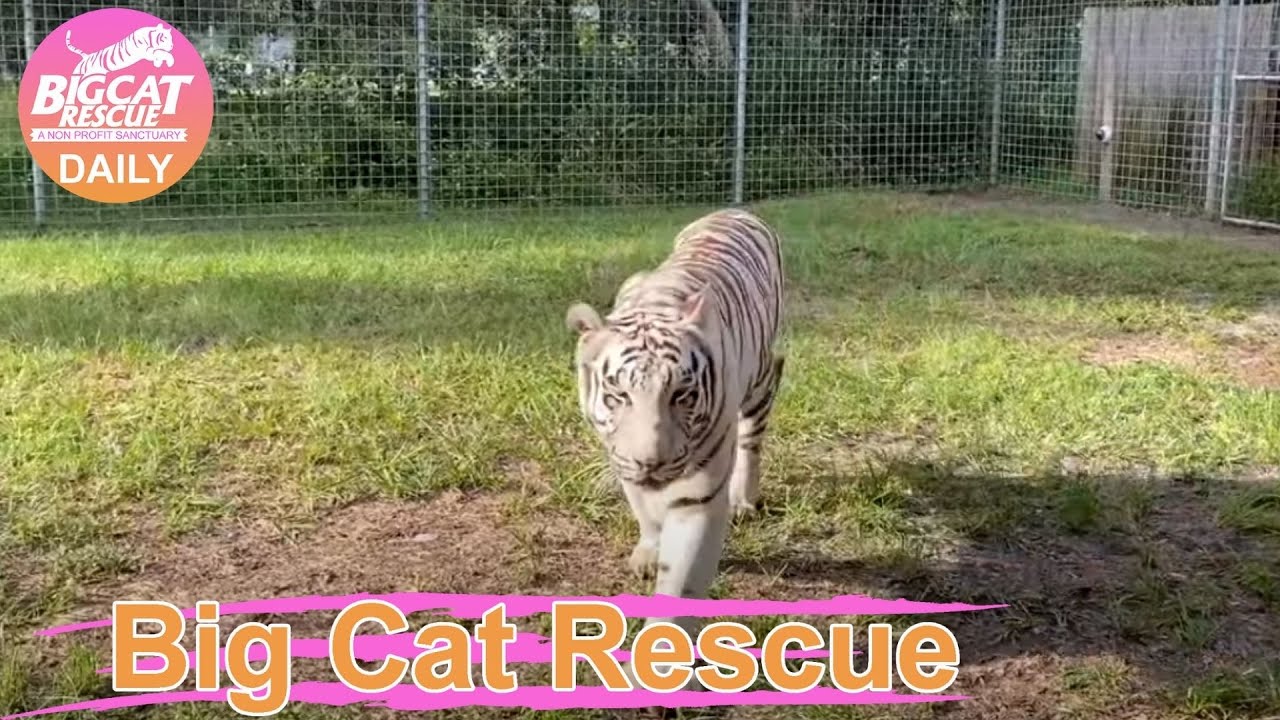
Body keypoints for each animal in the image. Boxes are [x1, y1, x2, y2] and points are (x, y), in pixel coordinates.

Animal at [564, 207, 785, 680]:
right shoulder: (622, 463)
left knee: (754, 432)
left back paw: (745, 498)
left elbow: (679, 583)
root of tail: (735, 209)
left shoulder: (697, 498)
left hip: (760, 378)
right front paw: (649, 550)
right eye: (619, 395)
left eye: (682, 395)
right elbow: (643, 511)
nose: (652, 461)